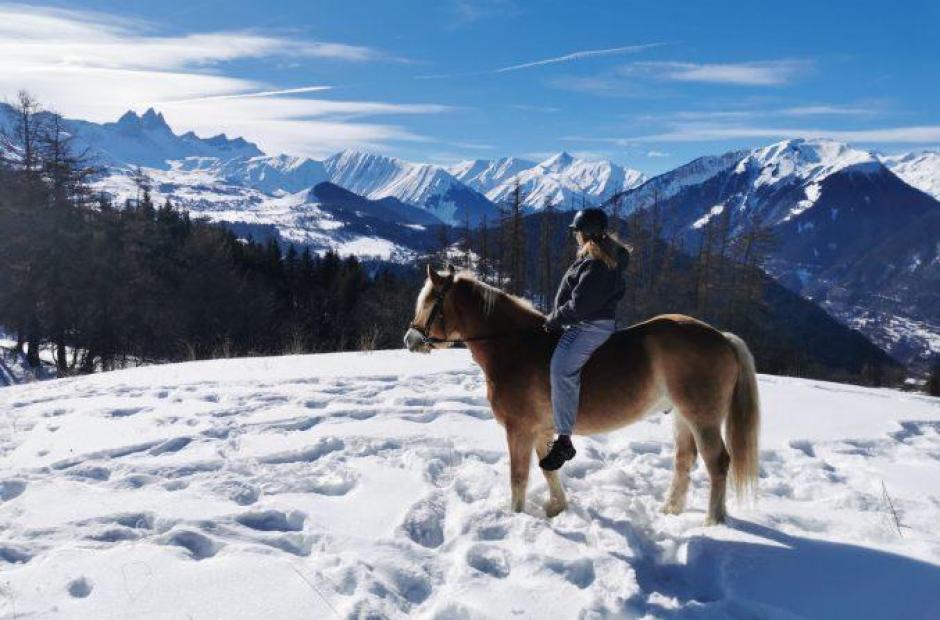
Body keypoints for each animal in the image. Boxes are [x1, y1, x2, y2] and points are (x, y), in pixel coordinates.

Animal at [403, 265, 760, 525]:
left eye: (432, 302)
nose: (410, 339)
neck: (514, 346)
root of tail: (722, 338)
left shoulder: (519, 430)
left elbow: (518, 477)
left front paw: (516, 516)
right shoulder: (541, 431)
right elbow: (548, 469)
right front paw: (556, 507)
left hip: (703, 419)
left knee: (718, 463)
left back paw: (713, 523)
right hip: (683, 418)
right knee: (684, 460)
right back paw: (671, 510)